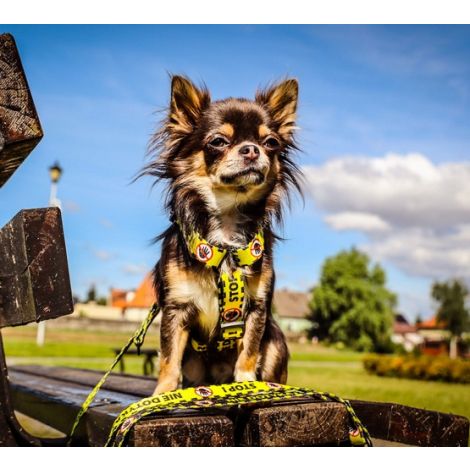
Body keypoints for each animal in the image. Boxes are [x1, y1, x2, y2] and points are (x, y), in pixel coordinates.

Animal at [143, 76, 302, 392]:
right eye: (218, 141)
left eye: (271, 143)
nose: (251, 149)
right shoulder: (176, 309)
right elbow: (168, 358)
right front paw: (162, 393)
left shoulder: (256, 309)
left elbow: (249, 351)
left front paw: (246, 383)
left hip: (277, 342)